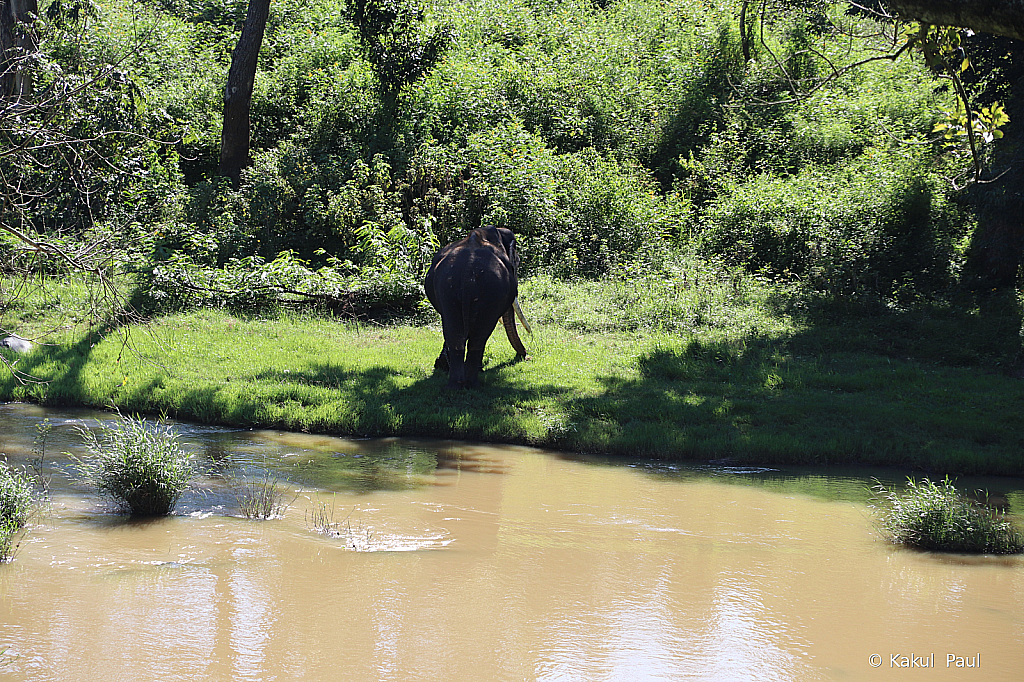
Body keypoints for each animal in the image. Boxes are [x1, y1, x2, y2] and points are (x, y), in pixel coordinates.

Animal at [423, 224, 532, 387]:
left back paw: (456, 384)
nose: (525, 356)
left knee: (454, 333)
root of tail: (468, 271)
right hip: (490, 292)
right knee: (480, 336)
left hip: (446, 289)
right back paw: (472, 382)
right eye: (517, 263)